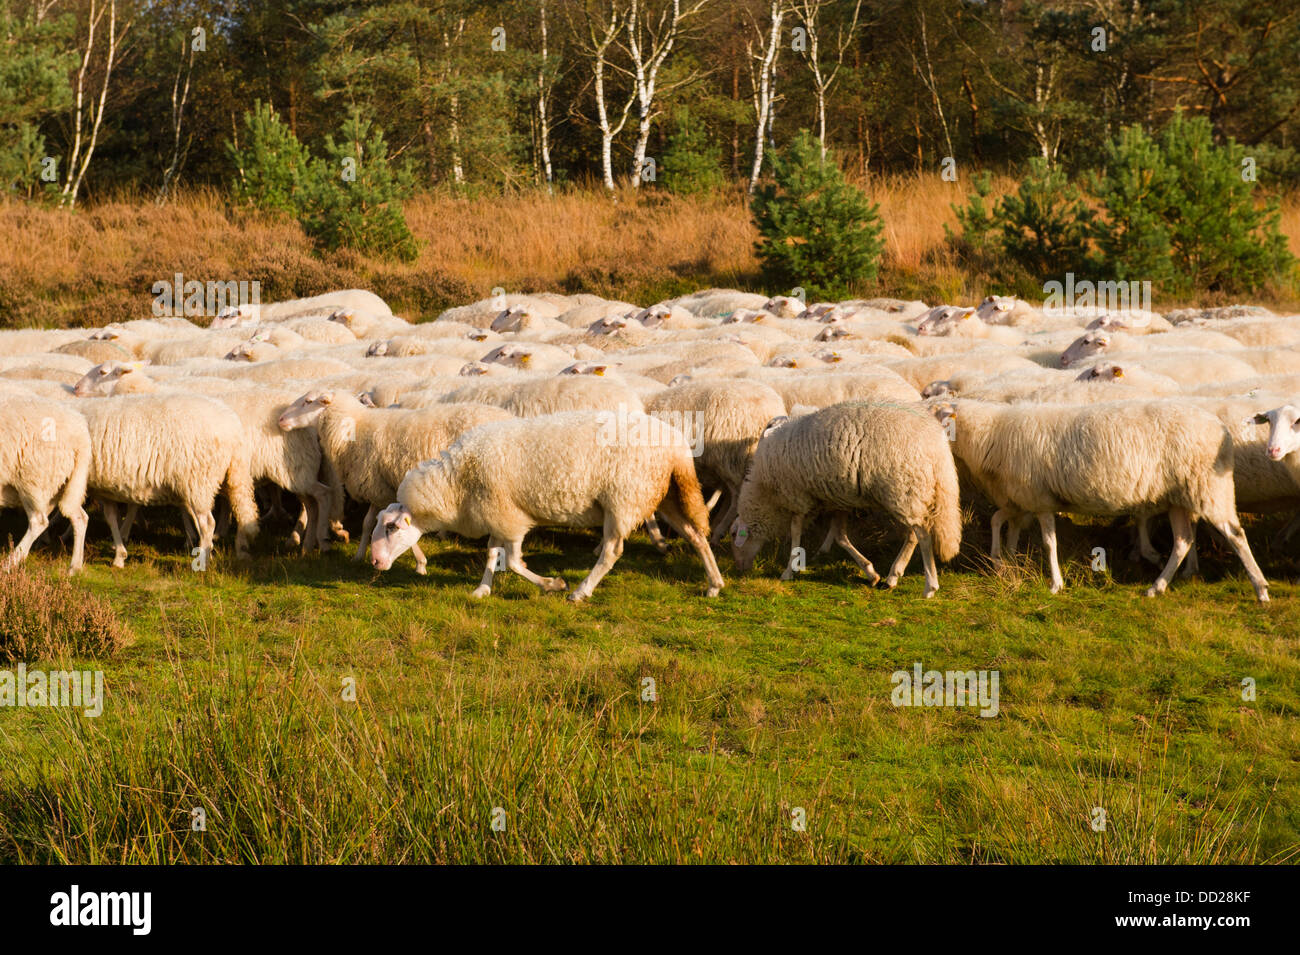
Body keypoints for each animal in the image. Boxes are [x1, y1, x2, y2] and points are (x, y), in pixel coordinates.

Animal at [0, 397, 91, 574]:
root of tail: (81, 435)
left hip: (33, 480)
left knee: (39, 521)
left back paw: (10, 563)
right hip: (59, 484)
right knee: (80, 517)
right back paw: (74, 567)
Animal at [279, 392, 512, 571]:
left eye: (308, 401)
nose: (280, 420)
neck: (355, 427)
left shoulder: (384, 488)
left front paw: (420, 563)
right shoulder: (378, 487)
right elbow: (367, 523)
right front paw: (358, 555)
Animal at [371, 407, 728, 600]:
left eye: (391, 528)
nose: (374, 562)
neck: (455, 482)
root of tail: (678, 447)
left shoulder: (511, 518)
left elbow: (515, 563)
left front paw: (553, 584)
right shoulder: (496, 513)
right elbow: (491, 554)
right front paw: (482, 589)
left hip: (623, 498)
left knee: (612, 551)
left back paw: (580, 591)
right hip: (663, 495)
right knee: (696, 536)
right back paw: (714, 584)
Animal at [733, 402, 967, 597]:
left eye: (734, 535)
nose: (740, 570)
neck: (764, 491)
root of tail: (936, 445)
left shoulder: (797, 497)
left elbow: (796, 534)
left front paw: (789, 571)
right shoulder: (838, 500)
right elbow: (840, 536)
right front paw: (871, 573)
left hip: (904, 489)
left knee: (923, 536)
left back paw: (930, 587)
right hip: (911, 492)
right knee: (913, 535)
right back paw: (893, 576)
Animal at [935, 400, 1268, 600]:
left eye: (938, 417)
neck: (991, 434)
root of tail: (1222, 430)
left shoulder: (1040, 499)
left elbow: (1048, 543)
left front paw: (1054, 584)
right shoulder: (1020, 499)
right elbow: (1000, 522)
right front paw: (1004, 561)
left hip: (1209, 487)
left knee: (1236, 535)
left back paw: (1261, 588)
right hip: (1180, 496)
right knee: (1183, 541)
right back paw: (1157, 586)